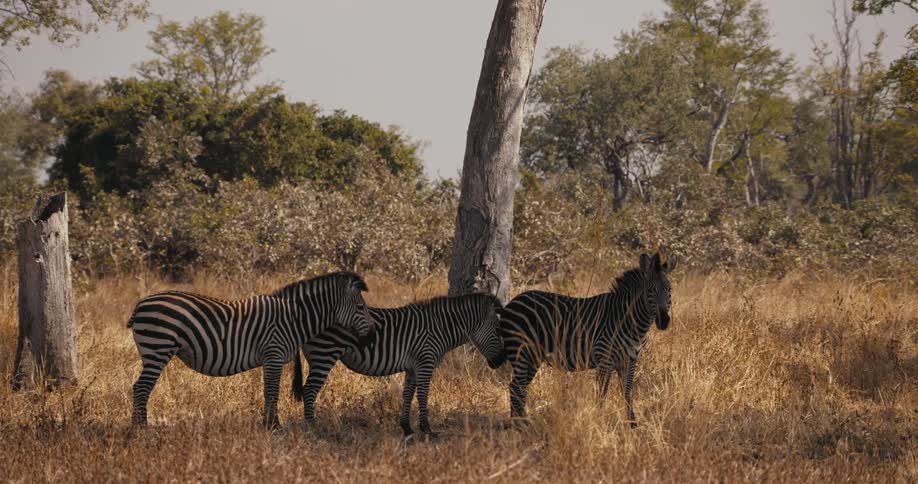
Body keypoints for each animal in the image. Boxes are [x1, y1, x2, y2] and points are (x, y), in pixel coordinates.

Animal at [127, 271, 373, 429]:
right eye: (361, 307)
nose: (371, 336)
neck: (293, 319)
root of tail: (141, 304)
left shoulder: (271, 358)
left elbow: (268, 392)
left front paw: (268, 424)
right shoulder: (273, 354)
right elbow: (272, 392)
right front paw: (274, 426)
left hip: (154, 351)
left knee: (138, 387)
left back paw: (137, 427)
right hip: (158, 348)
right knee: (141, 388)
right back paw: (142, 429)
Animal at [290, 293, 505, 436]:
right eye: (497, 329)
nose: (501, 361)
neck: (440, 327)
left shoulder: (413, 366)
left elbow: (407, 394)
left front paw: (407, 428)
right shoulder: (425, 362)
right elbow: (423, 395)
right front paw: (427, 429)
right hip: (324, 354)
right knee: (310, 390)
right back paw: (313, 428)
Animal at [499, 253, 674, 427]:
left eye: (669, 289)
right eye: (650, 290)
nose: (664, 321)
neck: (631, 324)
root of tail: (512, 301)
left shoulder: (630, 361)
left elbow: (628, 392)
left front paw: (632, 424)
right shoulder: (605, 360)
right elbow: (602, 394)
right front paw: (600, 421)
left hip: (532, 357)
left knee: (518, 387)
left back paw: (520, 422)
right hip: (521, 352)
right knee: (516, 387)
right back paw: (519, 424)